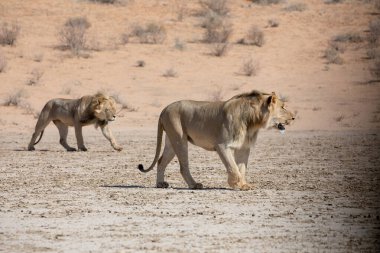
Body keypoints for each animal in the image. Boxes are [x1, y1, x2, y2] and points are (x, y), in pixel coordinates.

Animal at [138, 90, 296, 191]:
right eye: (283, 107)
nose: (294, 117)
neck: (253, 122)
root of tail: (164, 109)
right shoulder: (222, 145)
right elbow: (233, 167)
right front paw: (235, 184)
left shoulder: (244, 147)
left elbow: (242, 168)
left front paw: (244, 185)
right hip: (179, 139)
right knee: (183, 166)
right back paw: (194, 185)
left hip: (171, 142)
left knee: (161, 161)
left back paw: (160, 184)